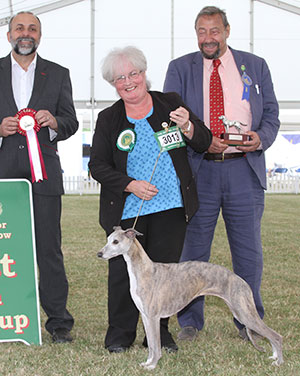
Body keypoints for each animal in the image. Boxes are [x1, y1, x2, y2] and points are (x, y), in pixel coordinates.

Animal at [98, 226, 284, 370]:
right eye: (108, 239)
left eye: (116, 242)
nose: (99, 254)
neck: (144, 270)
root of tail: (243, 282)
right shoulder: (145, 316)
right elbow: (151, 344)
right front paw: (148, 362)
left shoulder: (153, 317)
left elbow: (156, 346)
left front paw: (153, 365)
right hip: (241, 311)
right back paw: (274, 357)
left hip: (244, 313)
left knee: (275, 335)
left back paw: (278, 362)